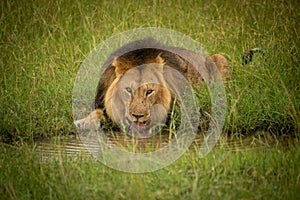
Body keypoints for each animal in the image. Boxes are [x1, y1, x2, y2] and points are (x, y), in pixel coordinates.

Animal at [74, 37, 233, 136]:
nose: (138, 116)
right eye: (128, 90)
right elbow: (97, 112)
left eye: (149, 91)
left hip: (220, 58)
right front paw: (84, 122)